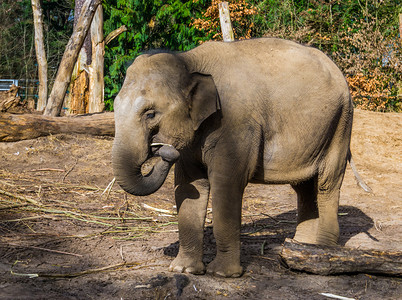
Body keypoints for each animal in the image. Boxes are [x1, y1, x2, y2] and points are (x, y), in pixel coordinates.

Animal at [111, 38, 370, 278]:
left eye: (150, 114)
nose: (164, 151)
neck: (189, 59)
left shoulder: (235, 126)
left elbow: (226, 184)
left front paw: (222, 274)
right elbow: (189, 187)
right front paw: (184, 270)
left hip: (341, 122)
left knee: (327, 184)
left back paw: (322, 254)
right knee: (304, 187)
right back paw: (301, 249)